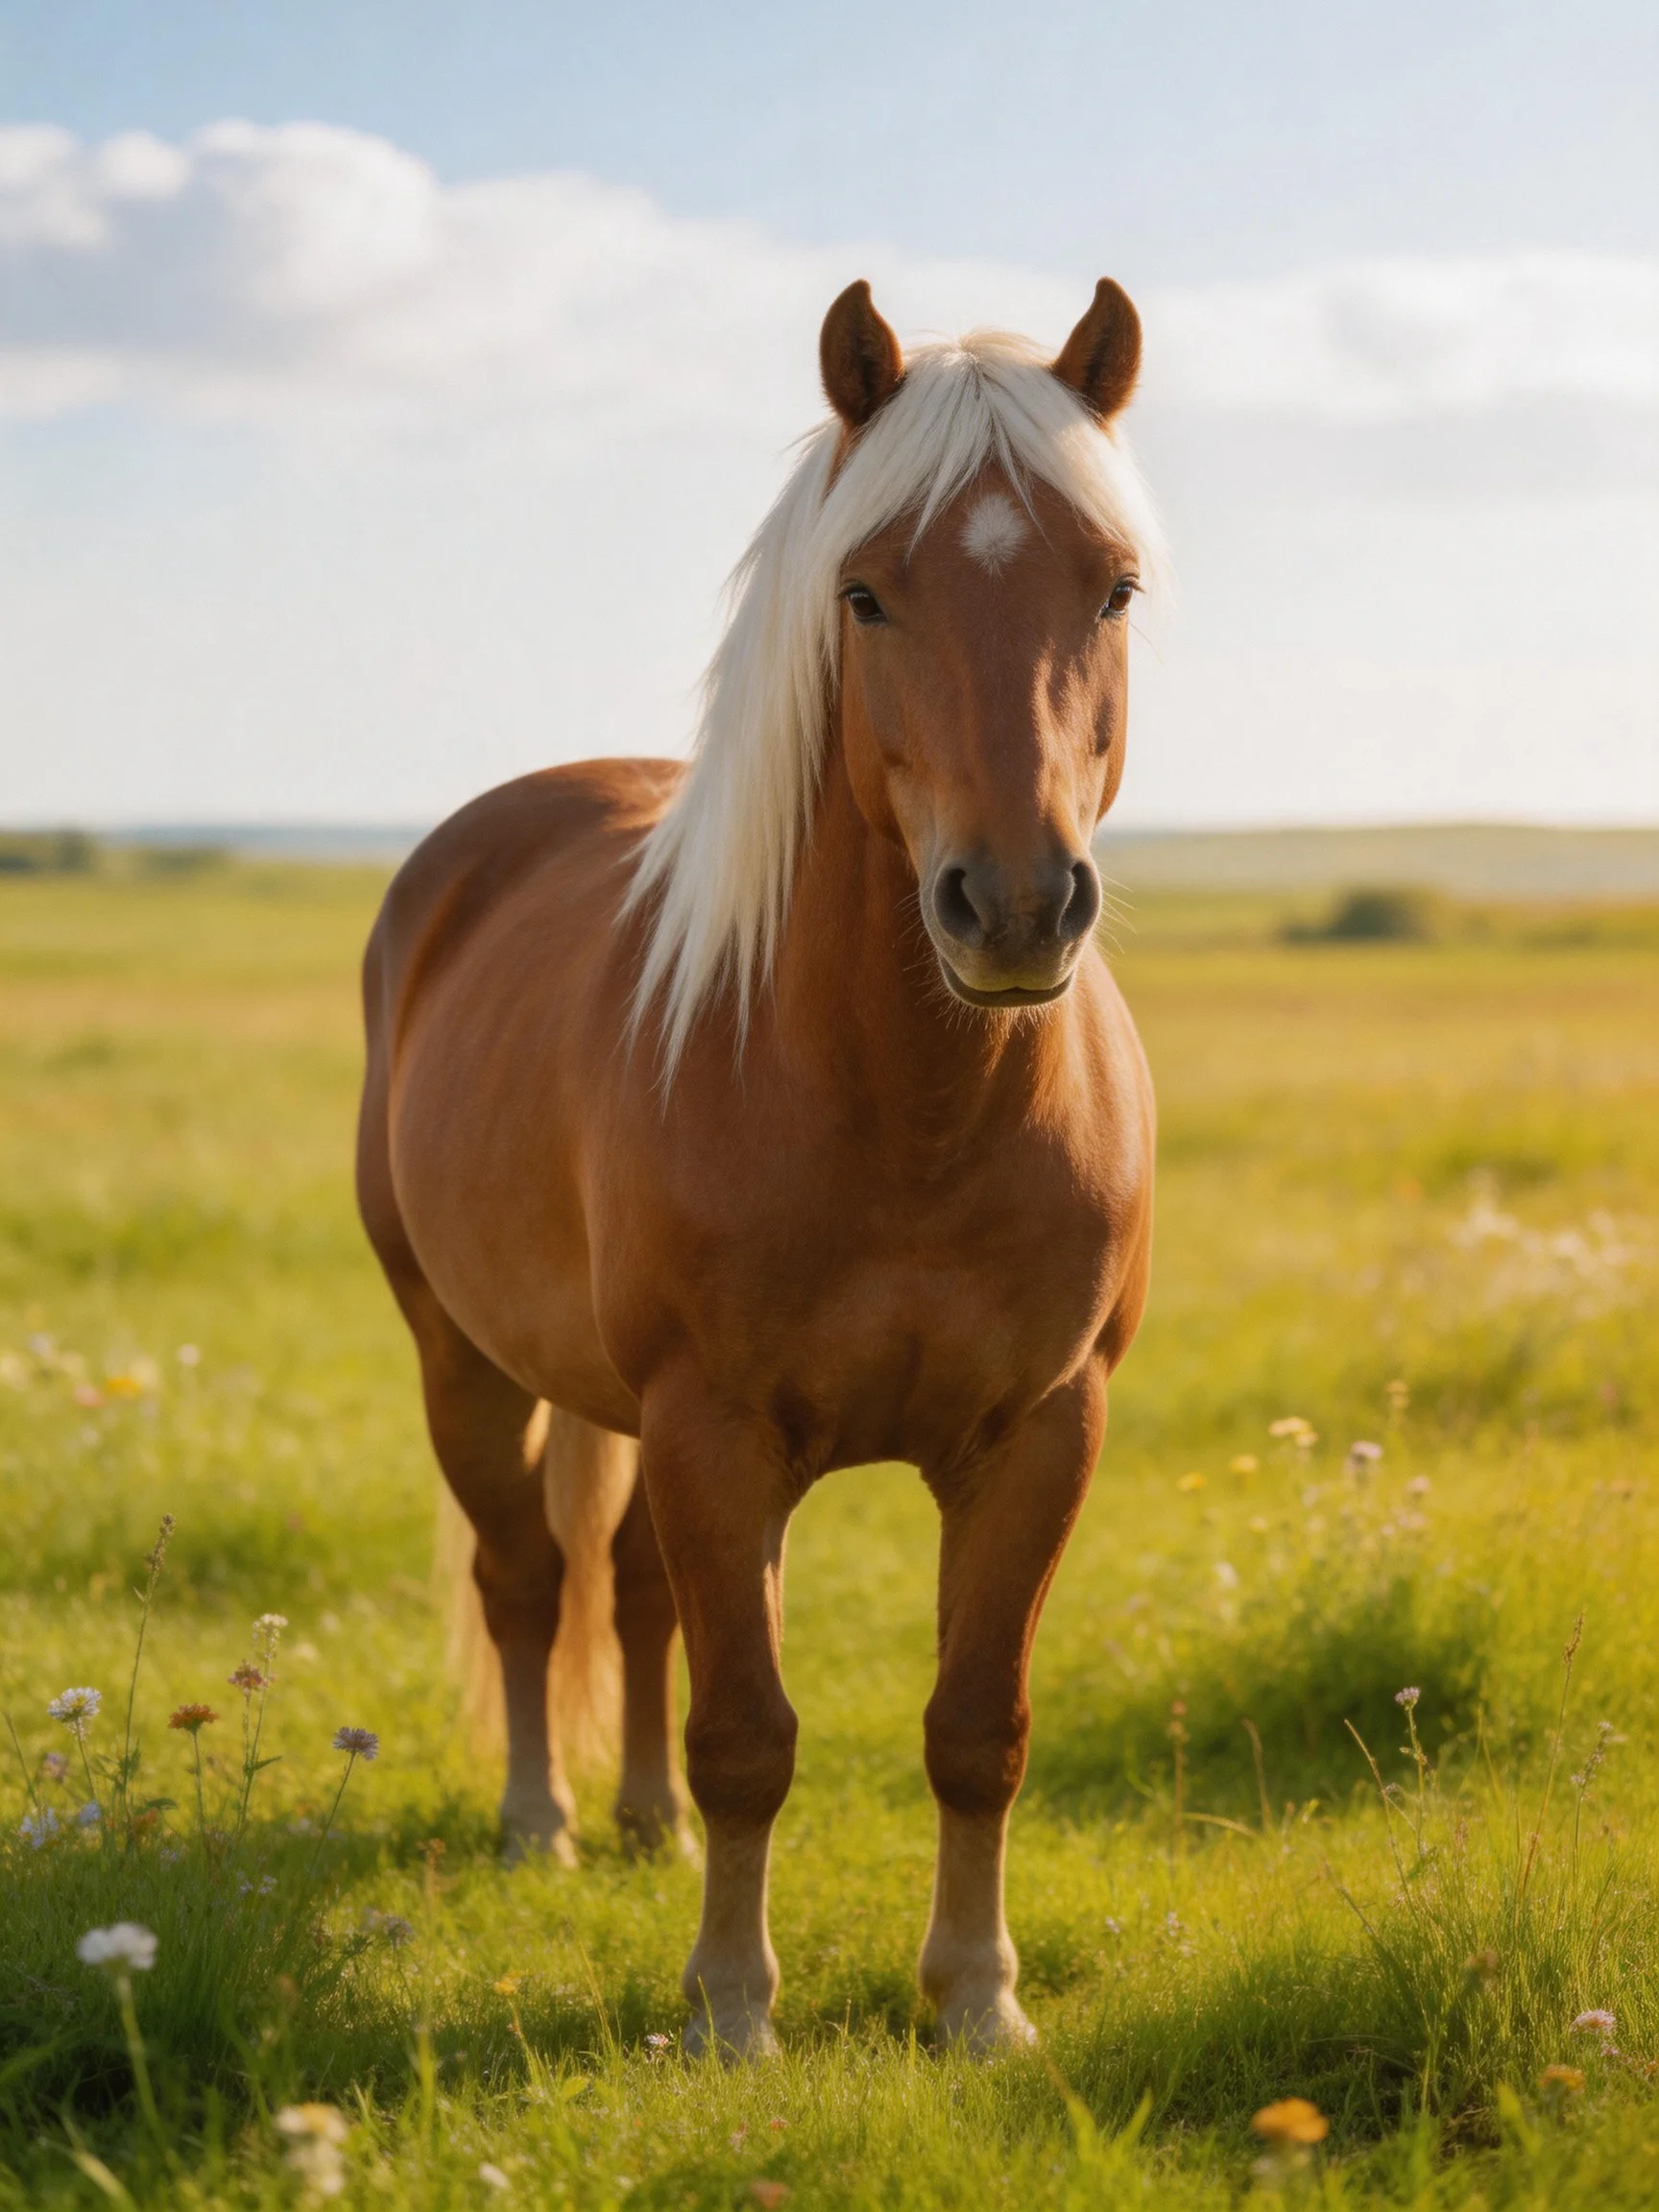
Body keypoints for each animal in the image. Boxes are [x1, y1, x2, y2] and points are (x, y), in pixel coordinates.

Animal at [357, 275, 1161, 2057]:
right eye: (865, 594)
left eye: (1115, 585)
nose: (1014, 908)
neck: (904, 1112)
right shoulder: (715, 1428)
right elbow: (749, 1730)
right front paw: (732, 2010)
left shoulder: (1040, 1432)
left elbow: (976, 1724)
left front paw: (977, 2002)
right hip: (462, 1359)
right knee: (530, 1578)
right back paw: (545, 1824)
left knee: (632, 1589)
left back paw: (641, 1823)